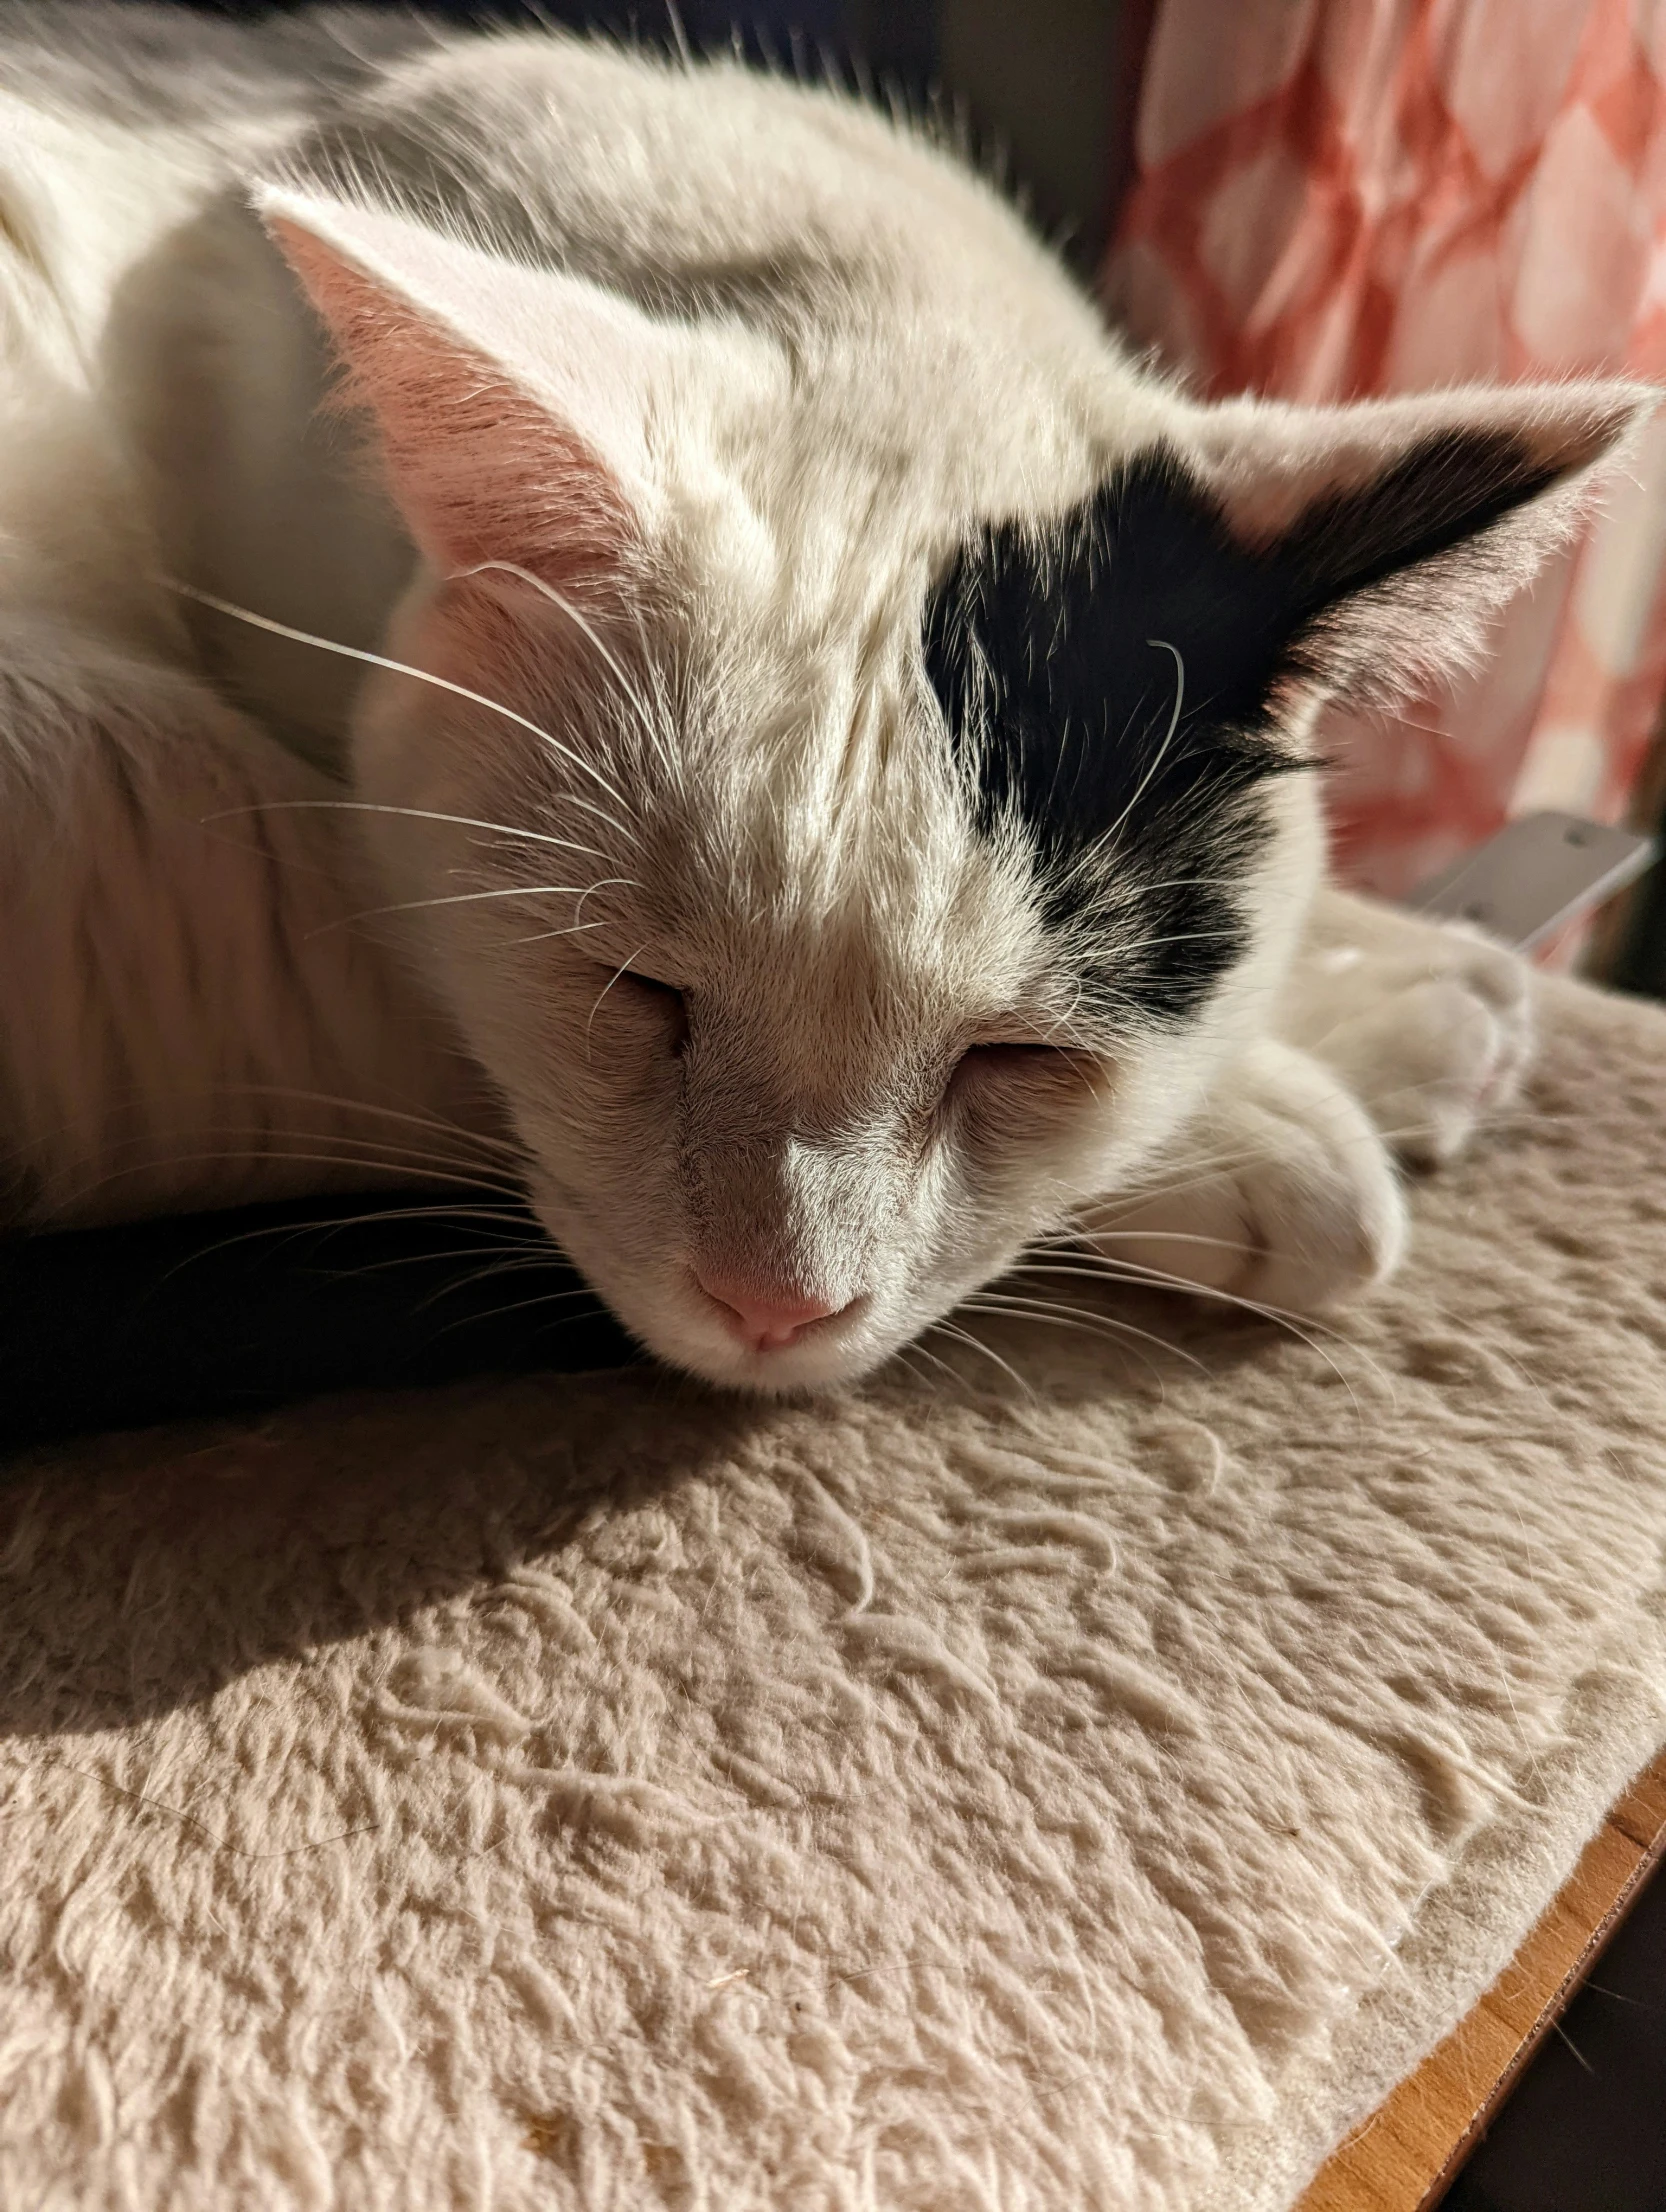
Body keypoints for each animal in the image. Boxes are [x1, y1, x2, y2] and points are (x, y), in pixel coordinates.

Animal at [0, 0, 1637, 1389]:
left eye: (1018, 1057)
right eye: (635, 989)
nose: (774, 1307)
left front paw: (1382, 964)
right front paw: (1291, 1104)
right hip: (100, 759)